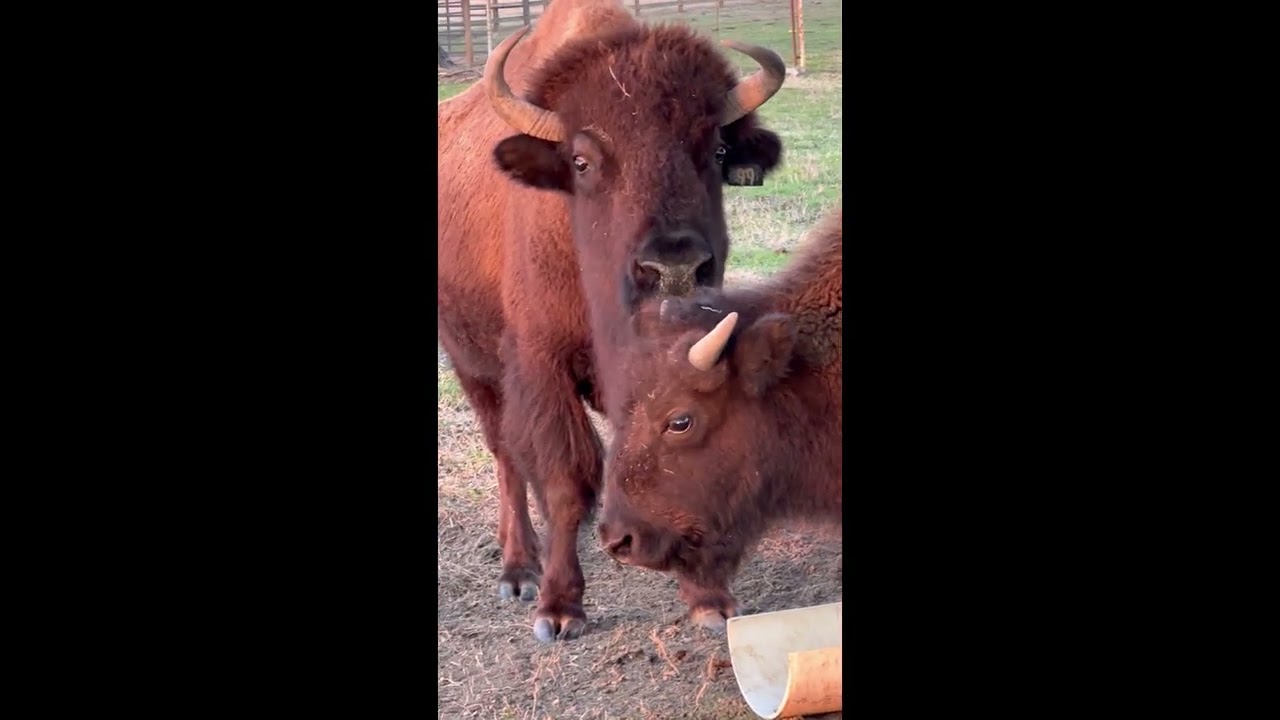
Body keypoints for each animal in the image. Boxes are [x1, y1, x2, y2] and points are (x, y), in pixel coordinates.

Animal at [437, 0, 787, 642]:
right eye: (582, 161)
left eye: (717, 152)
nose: (674, 265)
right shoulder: (541, 367)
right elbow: (565, 479)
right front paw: (558, 609)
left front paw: (708, 598)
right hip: (473, 366)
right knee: (506, 456)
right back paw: (518, 571)